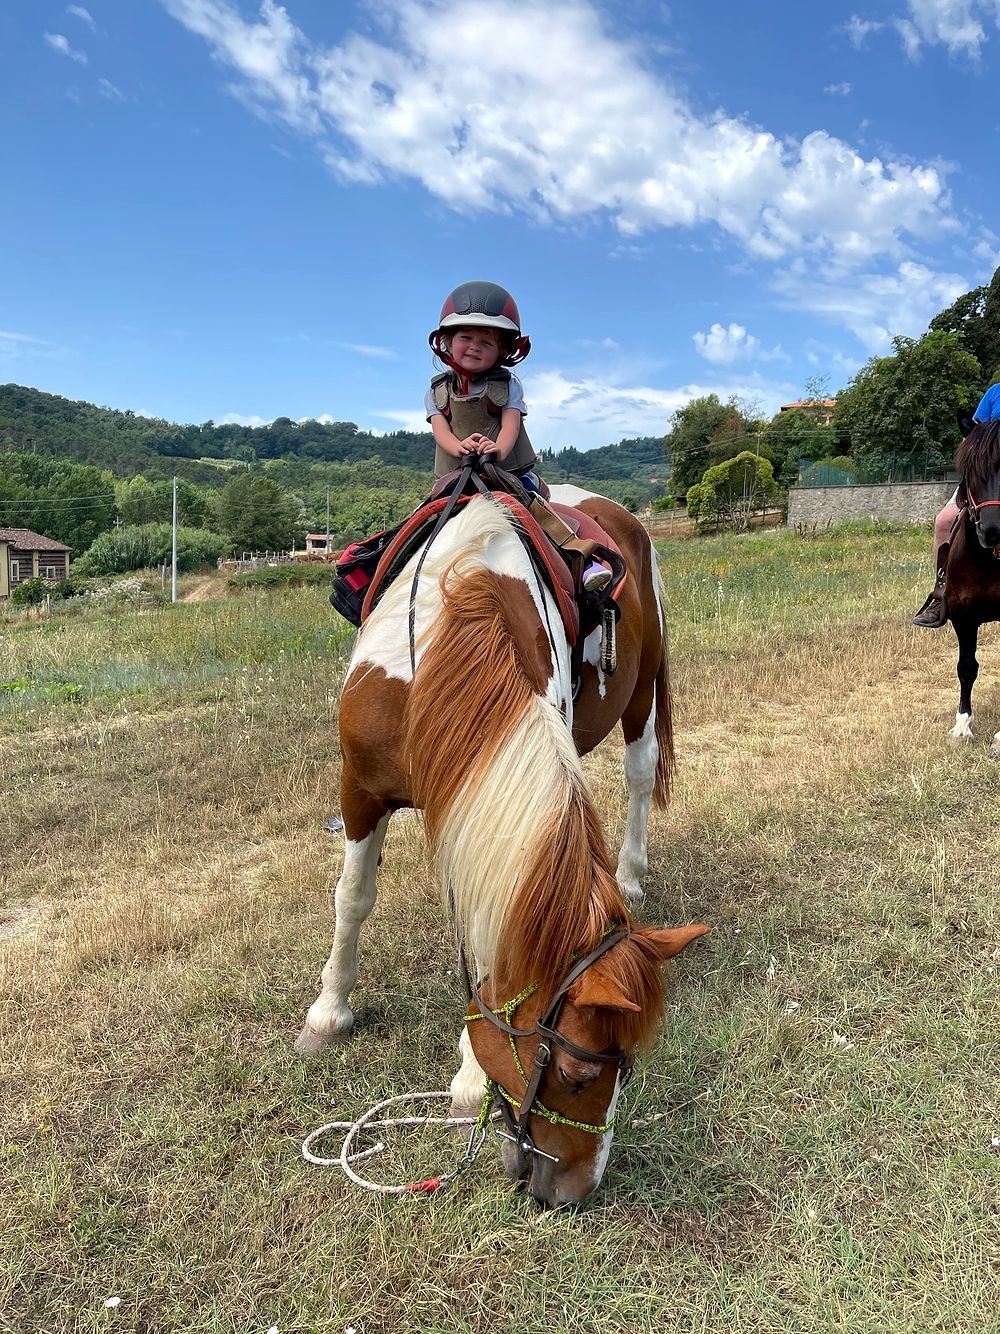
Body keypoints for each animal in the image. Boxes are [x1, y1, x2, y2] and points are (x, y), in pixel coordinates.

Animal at [295, 485, 709, 1206]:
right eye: (577, 1072)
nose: (577, 1190)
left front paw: (466, 1076)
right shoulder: (360, 790)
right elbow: (352, 898)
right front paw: (329, 1012)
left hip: (641, 690)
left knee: (638, 773)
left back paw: (630, 876)